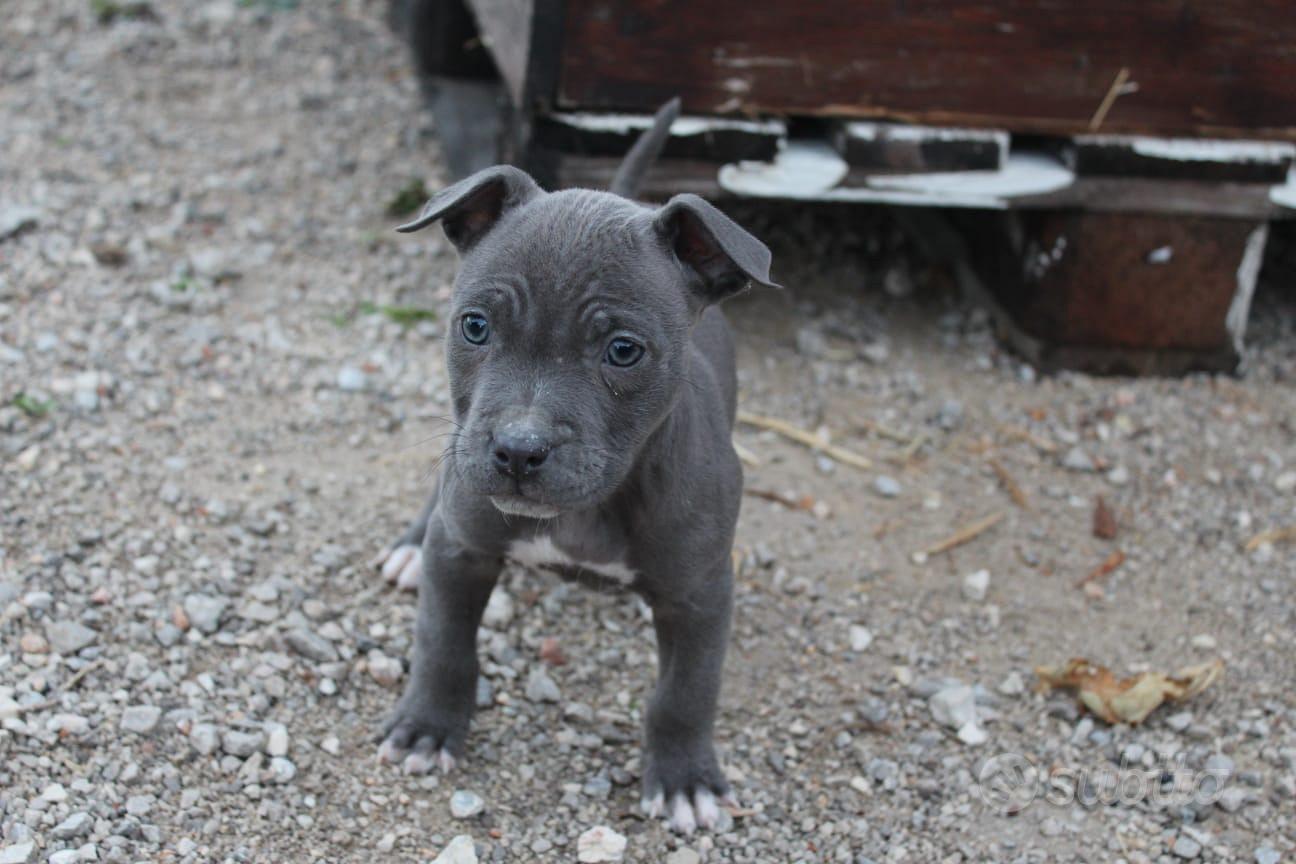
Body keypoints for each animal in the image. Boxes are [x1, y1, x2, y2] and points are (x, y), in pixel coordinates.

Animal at [372, 98, 777, 834]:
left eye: (623, 350)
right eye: (475, 326)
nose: (517, 449)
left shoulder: (702, 595)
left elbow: (686, 692)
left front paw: (685, 779)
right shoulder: (463, 548)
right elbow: (444, 644)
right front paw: (426, 728)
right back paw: (411, 545)